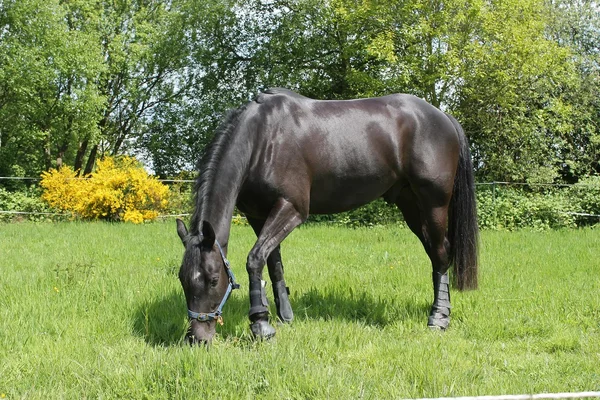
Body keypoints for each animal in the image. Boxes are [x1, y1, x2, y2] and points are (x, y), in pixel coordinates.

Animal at [175, 87, 478, 344]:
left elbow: (255, 259)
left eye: (213, 279)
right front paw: (283, 315)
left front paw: (261, 324)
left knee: (441, 254)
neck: (263, 138)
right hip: (410, 205)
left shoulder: (292, 208)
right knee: (435, 254)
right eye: (182, 278)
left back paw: (439, 318)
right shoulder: (257, 215)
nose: (197, 339)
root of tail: (442, 116)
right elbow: (272, 263)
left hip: (434, 204)